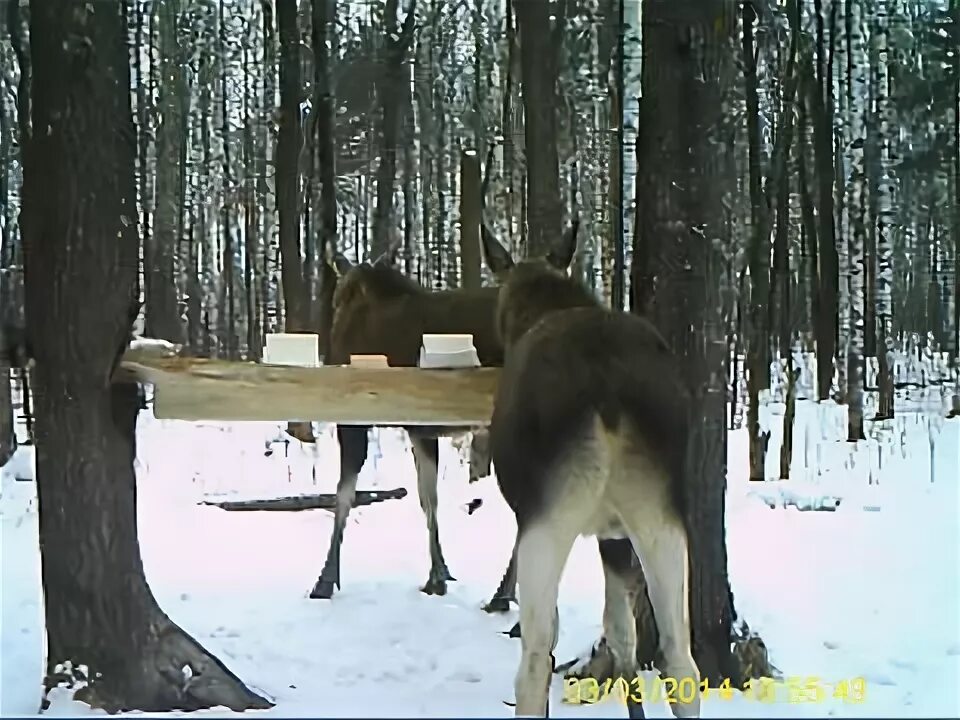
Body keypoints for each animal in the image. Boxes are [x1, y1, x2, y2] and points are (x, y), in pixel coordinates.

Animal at [478, 218, 696, 716]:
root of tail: (608, 389)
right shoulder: (614, 535)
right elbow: (622, 634)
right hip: (662, 518)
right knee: (681, 658)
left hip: (546, 520)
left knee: (535, 660)